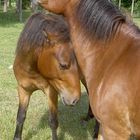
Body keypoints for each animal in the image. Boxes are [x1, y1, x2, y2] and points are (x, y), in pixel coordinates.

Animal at [13, 12, 81, 140]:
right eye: (63, 65)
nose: (74, 100)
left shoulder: (51, 91)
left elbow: (53, 122)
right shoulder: (23, 89)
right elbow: (20, 116)